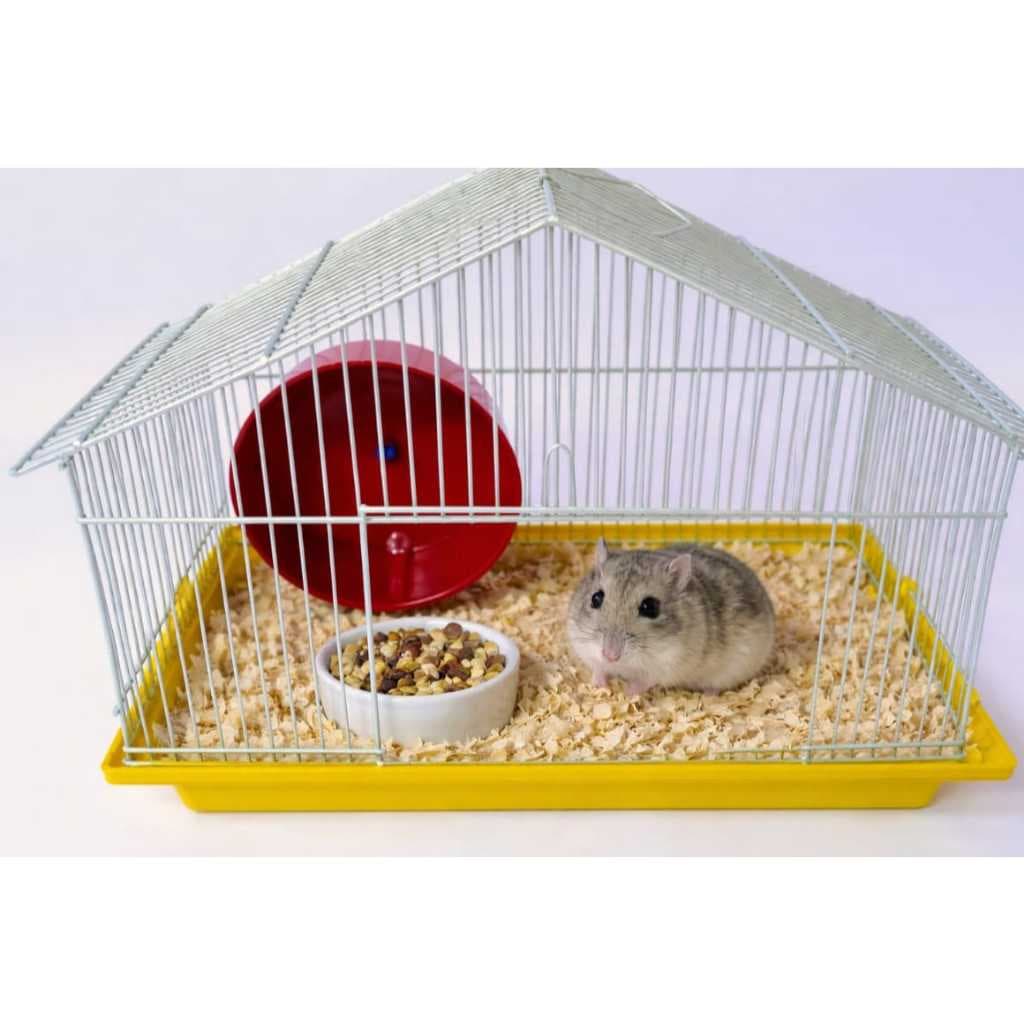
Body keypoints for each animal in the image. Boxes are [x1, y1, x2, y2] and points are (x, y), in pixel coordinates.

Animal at [567, 540, 775, 697]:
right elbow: (598, 668)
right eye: (596, 598)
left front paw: (627, 693)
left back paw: (708, 695)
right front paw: (599, 686)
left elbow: (644, 681)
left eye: (650, 607)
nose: (610, 656)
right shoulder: (584, 647)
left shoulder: (666, 665)